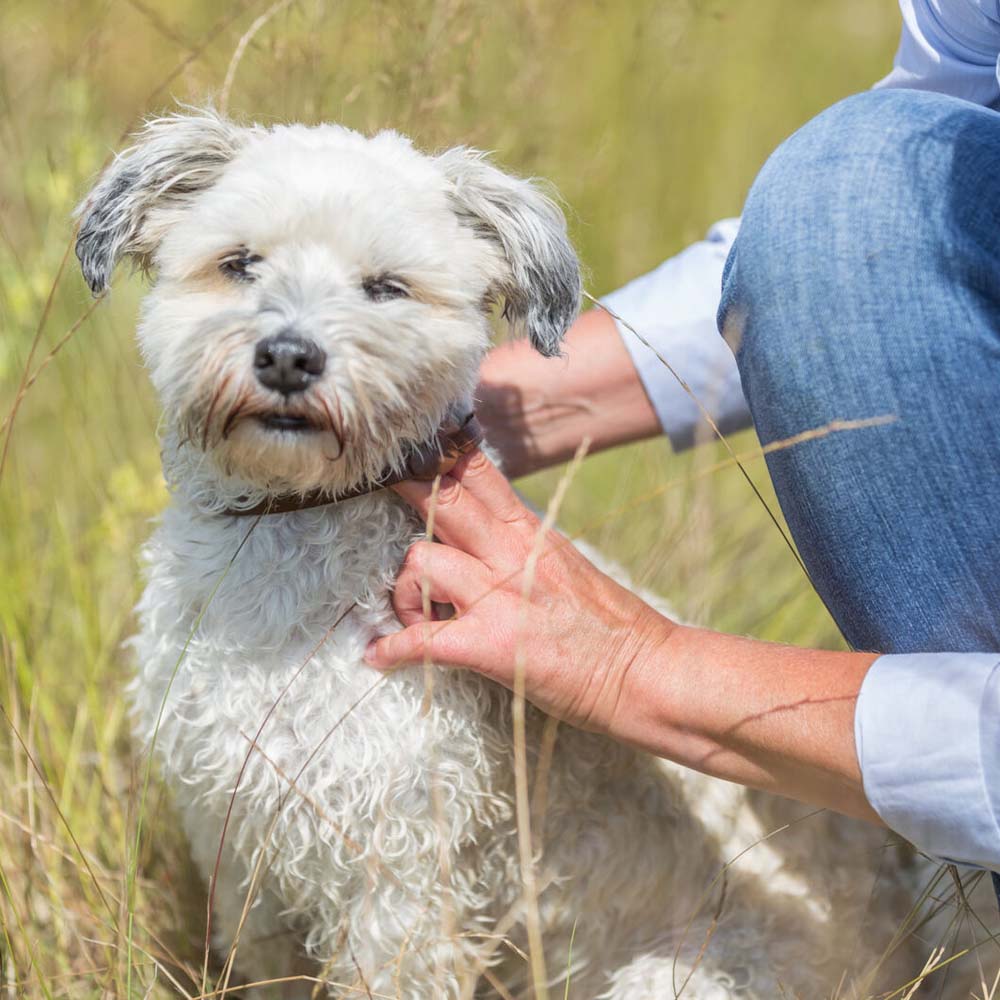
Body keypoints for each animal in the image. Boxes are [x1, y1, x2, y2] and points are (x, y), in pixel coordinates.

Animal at [76, 111, 952, 1000]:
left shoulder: (401, 874)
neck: (290, 531)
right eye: (238, 263)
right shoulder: (237, 848)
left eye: (385, 287)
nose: (288, 355)